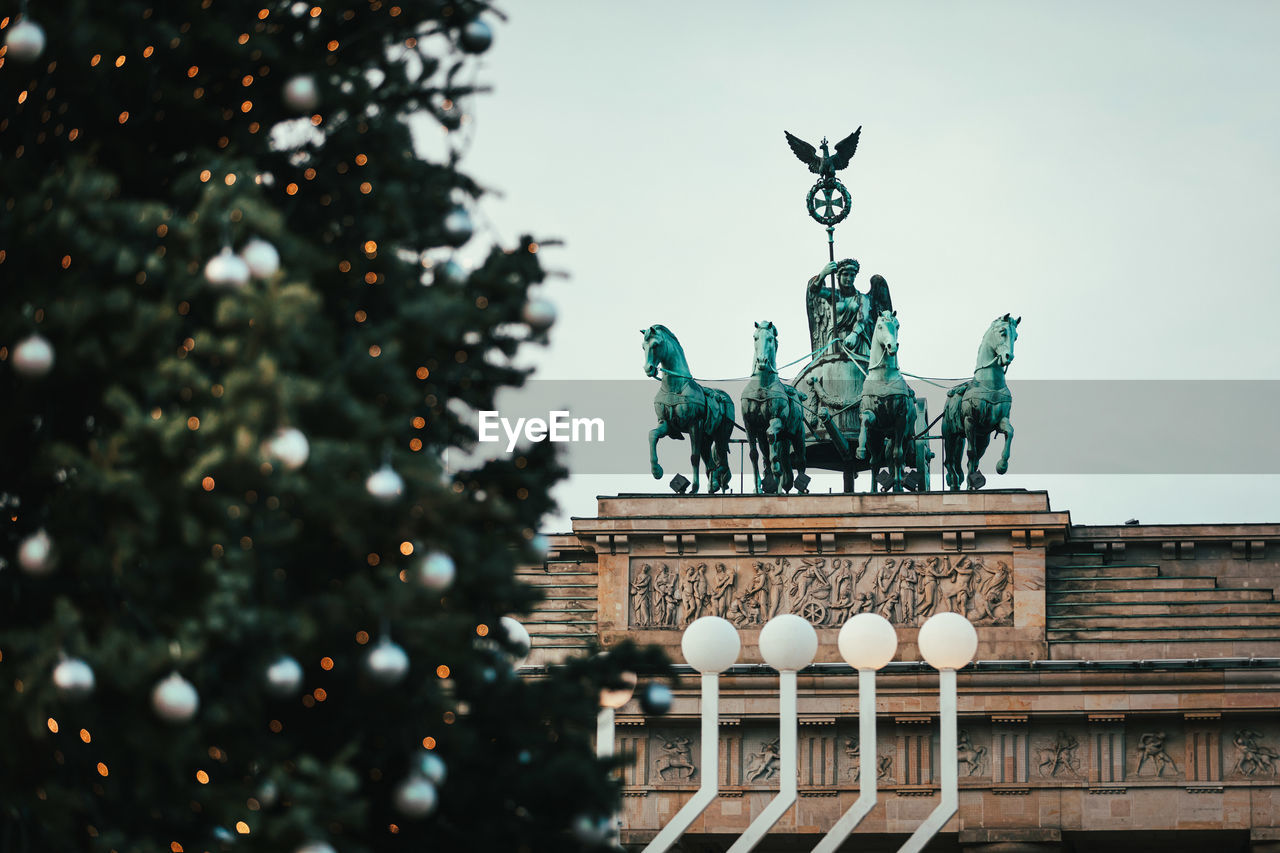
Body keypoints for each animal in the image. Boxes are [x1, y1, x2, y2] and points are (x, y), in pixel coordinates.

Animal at [645, 326, 737, 499]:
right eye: (643, 347)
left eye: (655, 345)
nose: (648, 369)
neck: (675, 386)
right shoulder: (666, 424)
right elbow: (652, 435)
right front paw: (656, 471)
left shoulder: (694, 425)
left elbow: (694, 457)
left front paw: (694, 487)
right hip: (706, 437)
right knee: (711, 463)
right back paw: (713, 484)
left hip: (720, 435)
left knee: (721, 461)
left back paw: (716, 480)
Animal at [942, 312, 1018, 489]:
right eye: (1003, 332)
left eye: (1016, 337)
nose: (1008, 357)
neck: (991, 385)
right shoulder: (970, 420)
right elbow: (971, 452)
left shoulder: (997, 422)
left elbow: (1010, 432)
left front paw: (1002, 465)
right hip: (950, 434)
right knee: (949, 461)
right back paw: (954, 482)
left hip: (983, 438)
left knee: (971, 460)